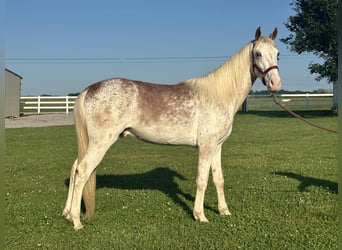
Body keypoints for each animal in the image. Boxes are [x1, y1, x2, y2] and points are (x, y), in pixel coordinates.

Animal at [62, 26, 282, 229]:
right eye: (258, 53)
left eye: (277, 53)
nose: (275, 83)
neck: (218, 95)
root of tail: (89, 89)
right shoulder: (206, 147)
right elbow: (202, 180)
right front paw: (200, 215)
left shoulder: (217, 147)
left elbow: (218, 179)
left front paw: (224, 211)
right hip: (100, 142)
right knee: (82, 171)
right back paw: (76, 221)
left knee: (74, 168)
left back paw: (66, 214)